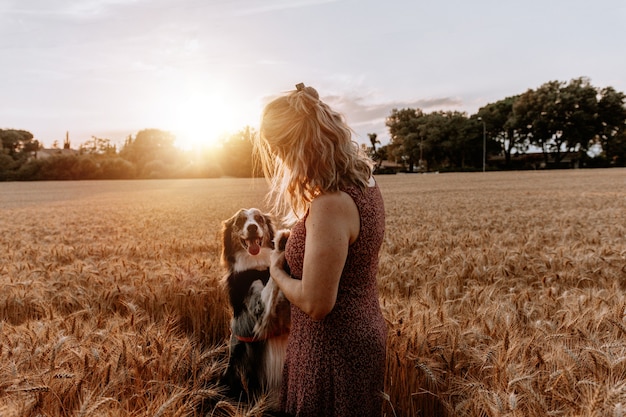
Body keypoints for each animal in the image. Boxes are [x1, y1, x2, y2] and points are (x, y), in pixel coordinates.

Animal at [219, 206, 290, 404]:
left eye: (259, 218)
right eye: (240, 221)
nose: (252, 227)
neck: (256, 266)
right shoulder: (259, 310)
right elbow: (272, 281)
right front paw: (281, 243)